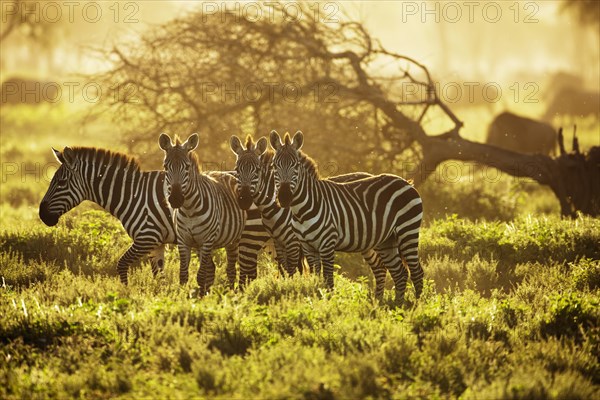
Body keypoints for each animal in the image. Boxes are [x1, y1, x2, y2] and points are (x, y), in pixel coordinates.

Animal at [36, 147, 253, 288]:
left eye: (61, 182)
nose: (42, 215)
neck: (131, 195)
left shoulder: (147, 238)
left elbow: (121, 264)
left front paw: (127, 294)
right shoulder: (156, 244)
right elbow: (158, 276)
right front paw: (161, 300)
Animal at [159, 133, 268, 292]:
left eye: (187, 167)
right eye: (166, 167)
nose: (175, 199)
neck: (189, 209)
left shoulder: (207, 240)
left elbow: (201, 275)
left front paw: (201, 296)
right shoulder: (184, 241)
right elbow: (184, 275)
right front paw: (185, 295)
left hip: (241, 239)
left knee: (235, 270)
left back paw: (232, 292)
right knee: (215, 269)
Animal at [270, 130, 424, 304]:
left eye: (295, 165)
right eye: (274, 166)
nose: (284, 198)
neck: (302, 211)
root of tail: (405, 182)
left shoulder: (327, 243)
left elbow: (328, 279)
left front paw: (330, 304)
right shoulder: (308, 247)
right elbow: (317, 277)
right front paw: (318, 300)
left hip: (408, 231)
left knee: (416, 271)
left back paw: (416, 306)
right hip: (387, 240)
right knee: (400, 273)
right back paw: (397, 305)